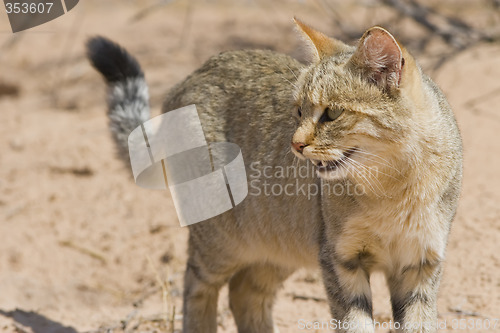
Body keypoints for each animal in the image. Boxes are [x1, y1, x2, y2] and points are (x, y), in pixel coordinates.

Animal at [88, 18, 462, 332]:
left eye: (332, 113)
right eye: (298, 110)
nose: (295, 143)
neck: (393, 188)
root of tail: (190, 77)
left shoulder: (421, 265)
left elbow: (419, 324)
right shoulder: (341, 260)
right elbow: (355, 324)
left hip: (281, 242)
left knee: (244, 292)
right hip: (220, 239)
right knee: (196, 285)